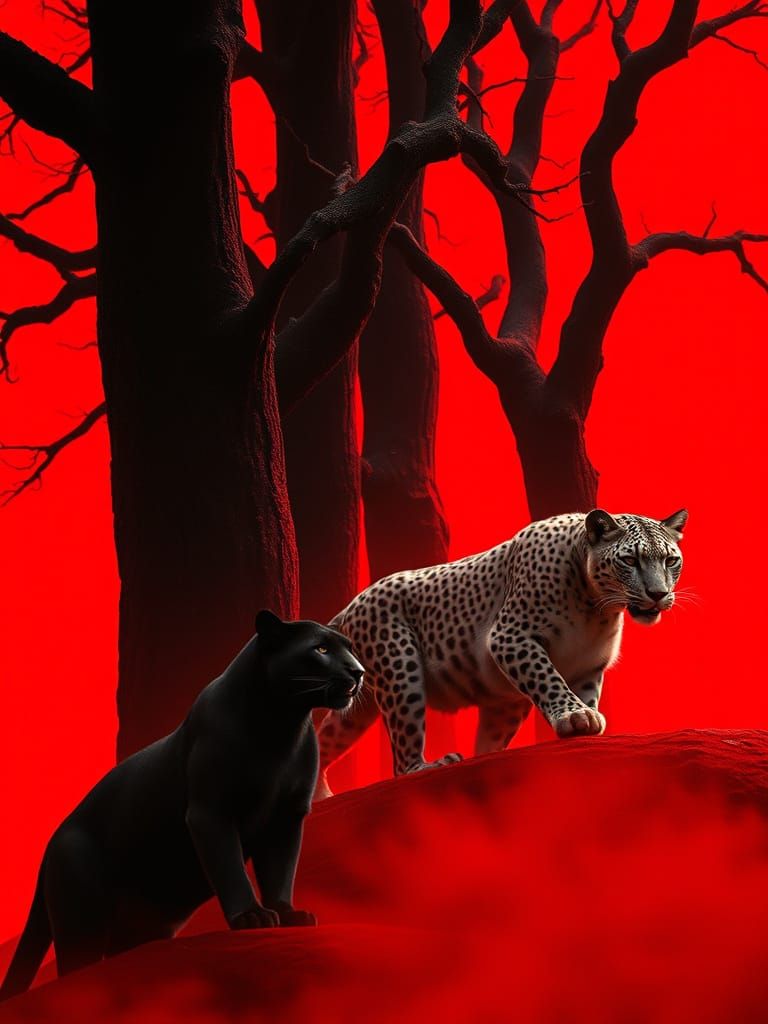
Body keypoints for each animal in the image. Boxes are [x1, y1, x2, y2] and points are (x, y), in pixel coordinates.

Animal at [314, 508, 687, 800]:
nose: (658, 594)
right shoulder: (509, 636)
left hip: (365, 702)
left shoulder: (588, 665)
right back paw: (430, 766)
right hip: (400, 668)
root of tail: (351, 604)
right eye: (629, 560)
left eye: (670, 560)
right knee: (402, 760)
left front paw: (586, 720)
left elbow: (584, 692)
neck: (596, 606)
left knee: (328, 734)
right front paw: (574, 716)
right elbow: (548, 677)